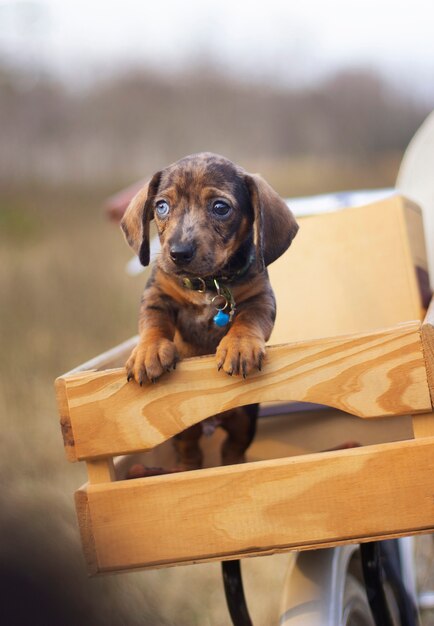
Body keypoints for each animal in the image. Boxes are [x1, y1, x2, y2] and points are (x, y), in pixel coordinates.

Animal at [121, 154, 298, 468]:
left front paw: (239, 346)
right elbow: (153, 323)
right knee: (190, 453)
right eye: (161, 206)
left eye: (220, 207)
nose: (178, 253)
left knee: (232, 449)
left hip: (244, 420)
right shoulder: (157, 294)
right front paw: (148, 352)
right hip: (183, 430)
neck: (208, 284)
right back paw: (186, 468)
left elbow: (248, 320)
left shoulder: (261, 299)